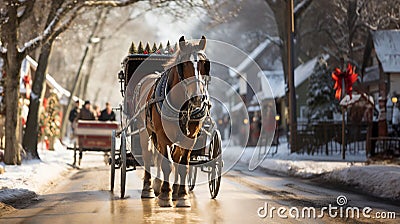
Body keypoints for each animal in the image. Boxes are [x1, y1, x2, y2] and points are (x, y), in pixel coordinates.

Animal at [145, 36, 212, 206]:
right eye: (184, 64)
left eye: (205, 64)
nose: (197, 97)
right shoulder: (162, 136)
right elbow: (166, 164)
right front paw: (164, 195)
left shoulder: (190, 137)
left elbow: (183, 166)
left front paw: (182, 196)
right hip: (151, 134)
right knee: (151, 156)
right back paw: (152, 188)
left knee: (176, 158)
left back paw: (175, 190)